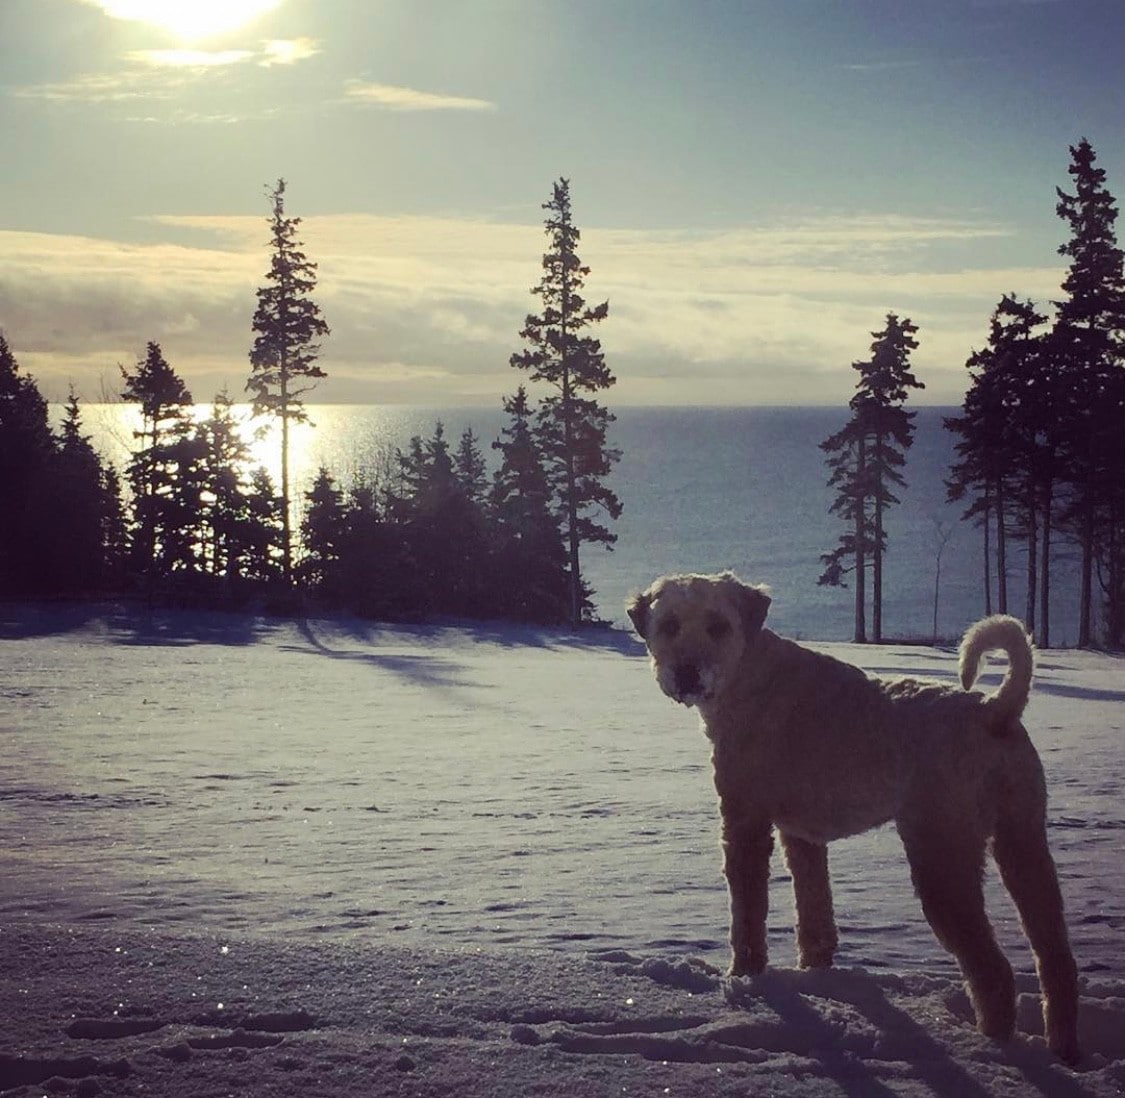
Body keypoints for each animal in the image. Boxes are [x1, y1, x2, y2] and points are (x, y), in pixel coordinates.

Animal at [630, 573, 1075, 1062]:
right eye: (669, 624)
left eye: (718, 625)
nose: (688, 673)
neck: (750, 678)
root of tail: (996, 709)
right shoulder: (801, 836)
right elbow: (813, 913)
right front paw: (817, 973)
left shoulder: (745, 820)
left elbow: (748, 913)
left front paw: (745, 977)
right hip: (1023, 839)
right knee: (1056, 958)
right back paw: (1062, 1049)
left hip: (943, 855)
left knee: (993, 971)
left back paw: (992, 1048)